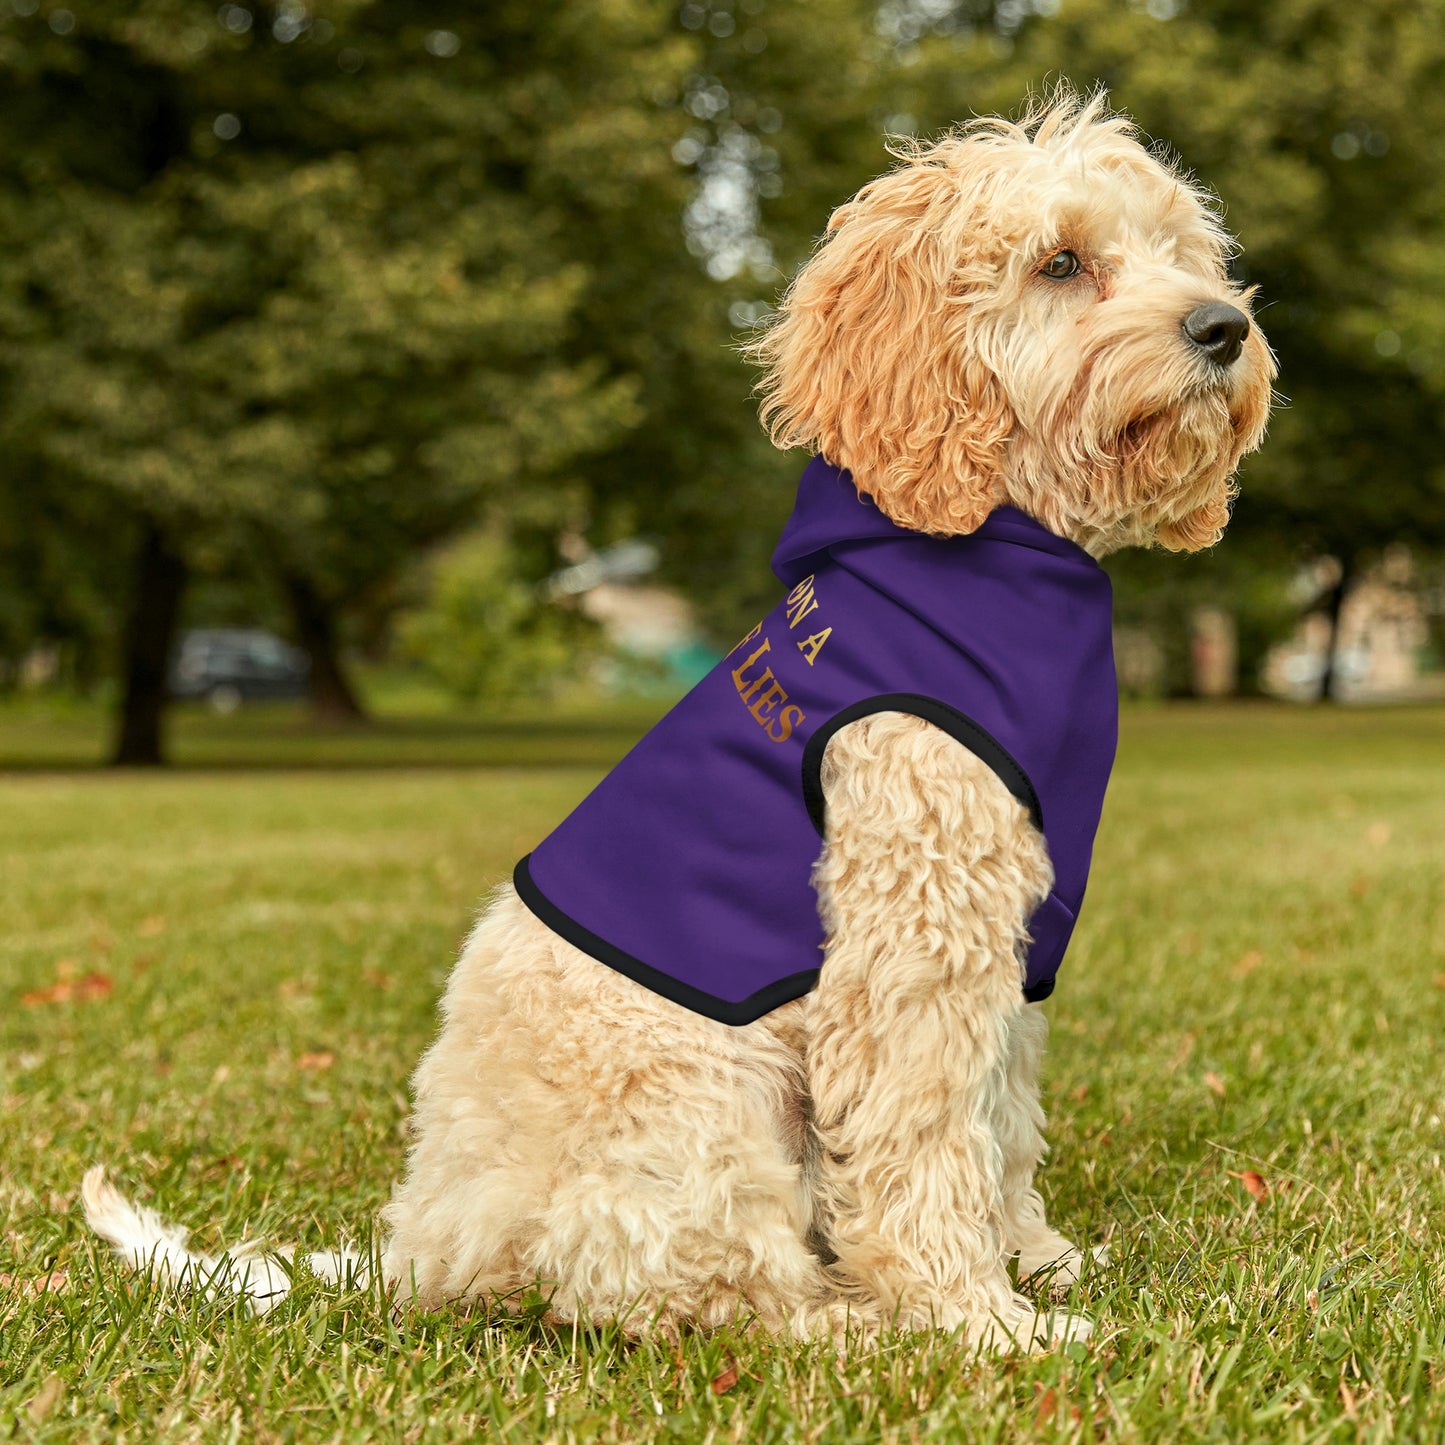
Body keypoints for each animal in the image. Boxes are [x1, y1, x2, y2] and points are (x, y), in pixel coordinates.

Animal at [84, 93, 1271, 1352]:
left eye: (1180, 251)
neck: (983, 550)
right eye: (1059, 262)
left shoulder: (1009, 938)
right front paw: (976, 1318)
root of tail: (423, 1246)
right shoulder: (912, 934)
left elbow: (998, 1118)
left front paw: (1034, 1259)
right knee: (699, 1291)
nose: (1223, 327)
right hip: (704, 1098)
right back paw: (852, 1322)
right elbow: (924, 1137)